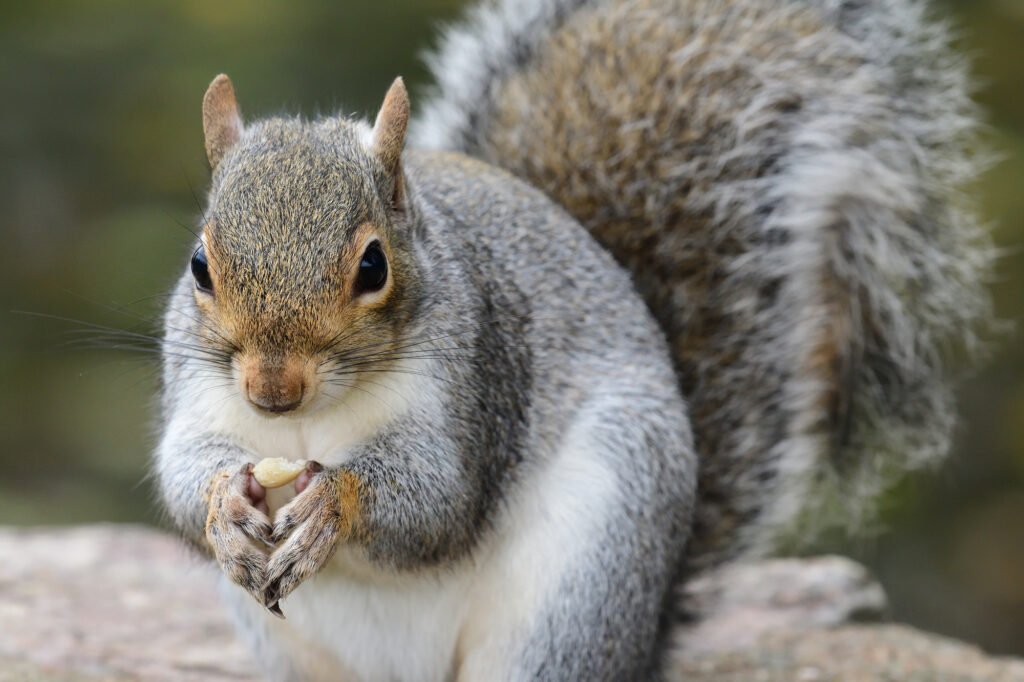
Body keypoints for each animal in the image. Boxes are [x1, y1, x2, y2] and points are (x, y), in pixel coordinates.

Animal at [154, 0, 990, 680]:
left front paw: (334, 499)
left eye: (373, 266)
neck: (311, 420)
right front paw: (224, 505)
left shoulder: (479, 380)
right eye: (199, 264)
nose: (271, 390)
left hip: (581, 584)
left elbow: (438, 505)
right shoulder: (197, 394)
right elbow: (181, 470)